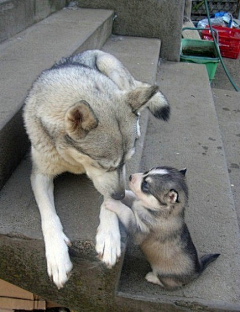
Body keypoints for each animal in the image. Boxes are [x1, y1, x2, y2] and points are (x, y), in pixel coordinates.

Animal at [22, 50, 169, 288]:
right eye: (102, 165)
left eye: (126, 161)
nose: (120, 196)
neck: (72, 160)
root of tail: (93, 51)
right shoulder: (40, 175)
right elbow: (48, 215)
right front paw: (57, 255)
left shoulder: (117, 176)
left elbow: (107, 199)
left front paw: (109, 236)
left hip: (113, 70)